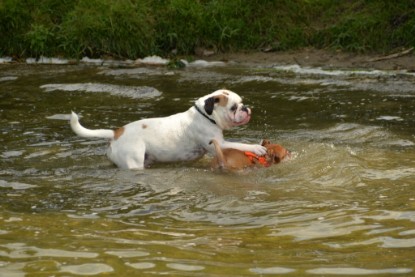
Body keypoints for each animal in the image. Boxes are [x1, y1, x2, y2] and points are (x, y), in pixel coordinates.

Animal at [70, 89, 266, 169]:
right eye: (233, 108)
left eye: (241, 103)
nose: (245, 108)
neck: (206, 115)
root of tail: (116, 132)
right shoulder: (220, 144)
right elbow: (241, 144)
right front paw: (257, 147)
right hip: (133, 162)